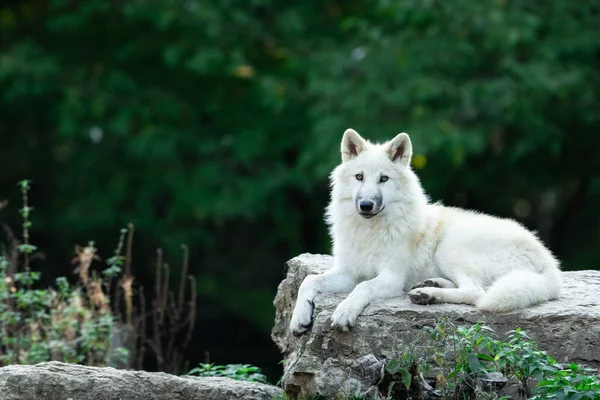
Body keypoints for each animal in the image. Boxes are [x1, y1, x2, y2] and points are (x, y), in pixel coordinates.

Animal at [290, 129, 564, 334]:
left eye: (383, 179)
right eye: (359, 177)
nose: (366, 205)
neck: (371, 231)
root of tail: (550, 265)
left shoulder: (391, 278)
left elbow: (364, 287)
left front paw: (345, 311)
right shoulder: (348, 272)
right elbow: (308, 280)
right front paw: (298, 318)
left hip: (450, 247)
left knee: (477, 292)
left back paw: (428, 293)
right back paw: (430, 287)